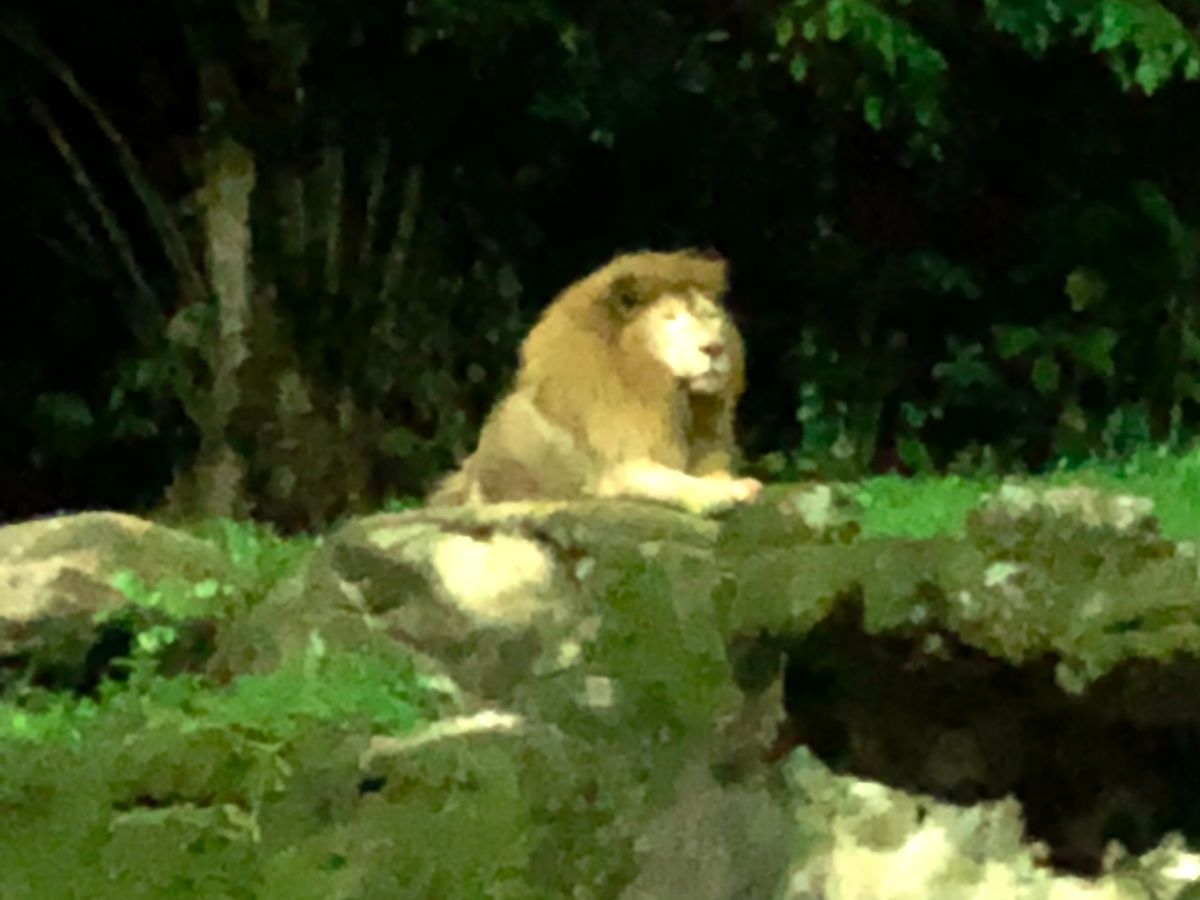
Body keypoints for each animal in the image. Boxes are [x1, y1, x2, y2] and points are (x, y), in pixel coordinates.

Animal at [427, 249, 762, 516]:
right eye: (670, 319)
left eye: (710, 316)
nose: (714, 347)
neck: (671, 397)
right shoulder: (608, 473)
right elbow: (667, 478)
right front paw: (723, 492)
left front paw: (727, 482)